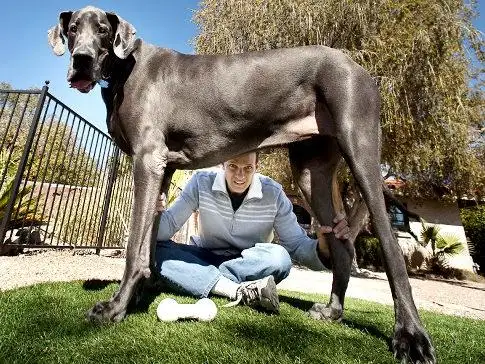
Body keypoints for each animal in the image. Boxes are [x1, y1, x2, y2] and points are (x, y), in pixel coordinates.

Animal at [48, 6, 434, 364]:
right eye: (72, 29)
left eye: (102, 30)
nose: (81, 60)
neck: (125, 69)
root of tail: (356, 65)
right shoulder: (164, 168)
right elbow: (150, 243)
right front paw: (140, 294)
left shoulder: (147, 159)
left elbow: (133, 249)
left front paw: (115, 308)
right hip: (311, 172)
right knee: (341, 246)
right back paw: (333, 311)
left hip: (359, 143)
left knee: (389, 244)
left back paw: (410, 336)